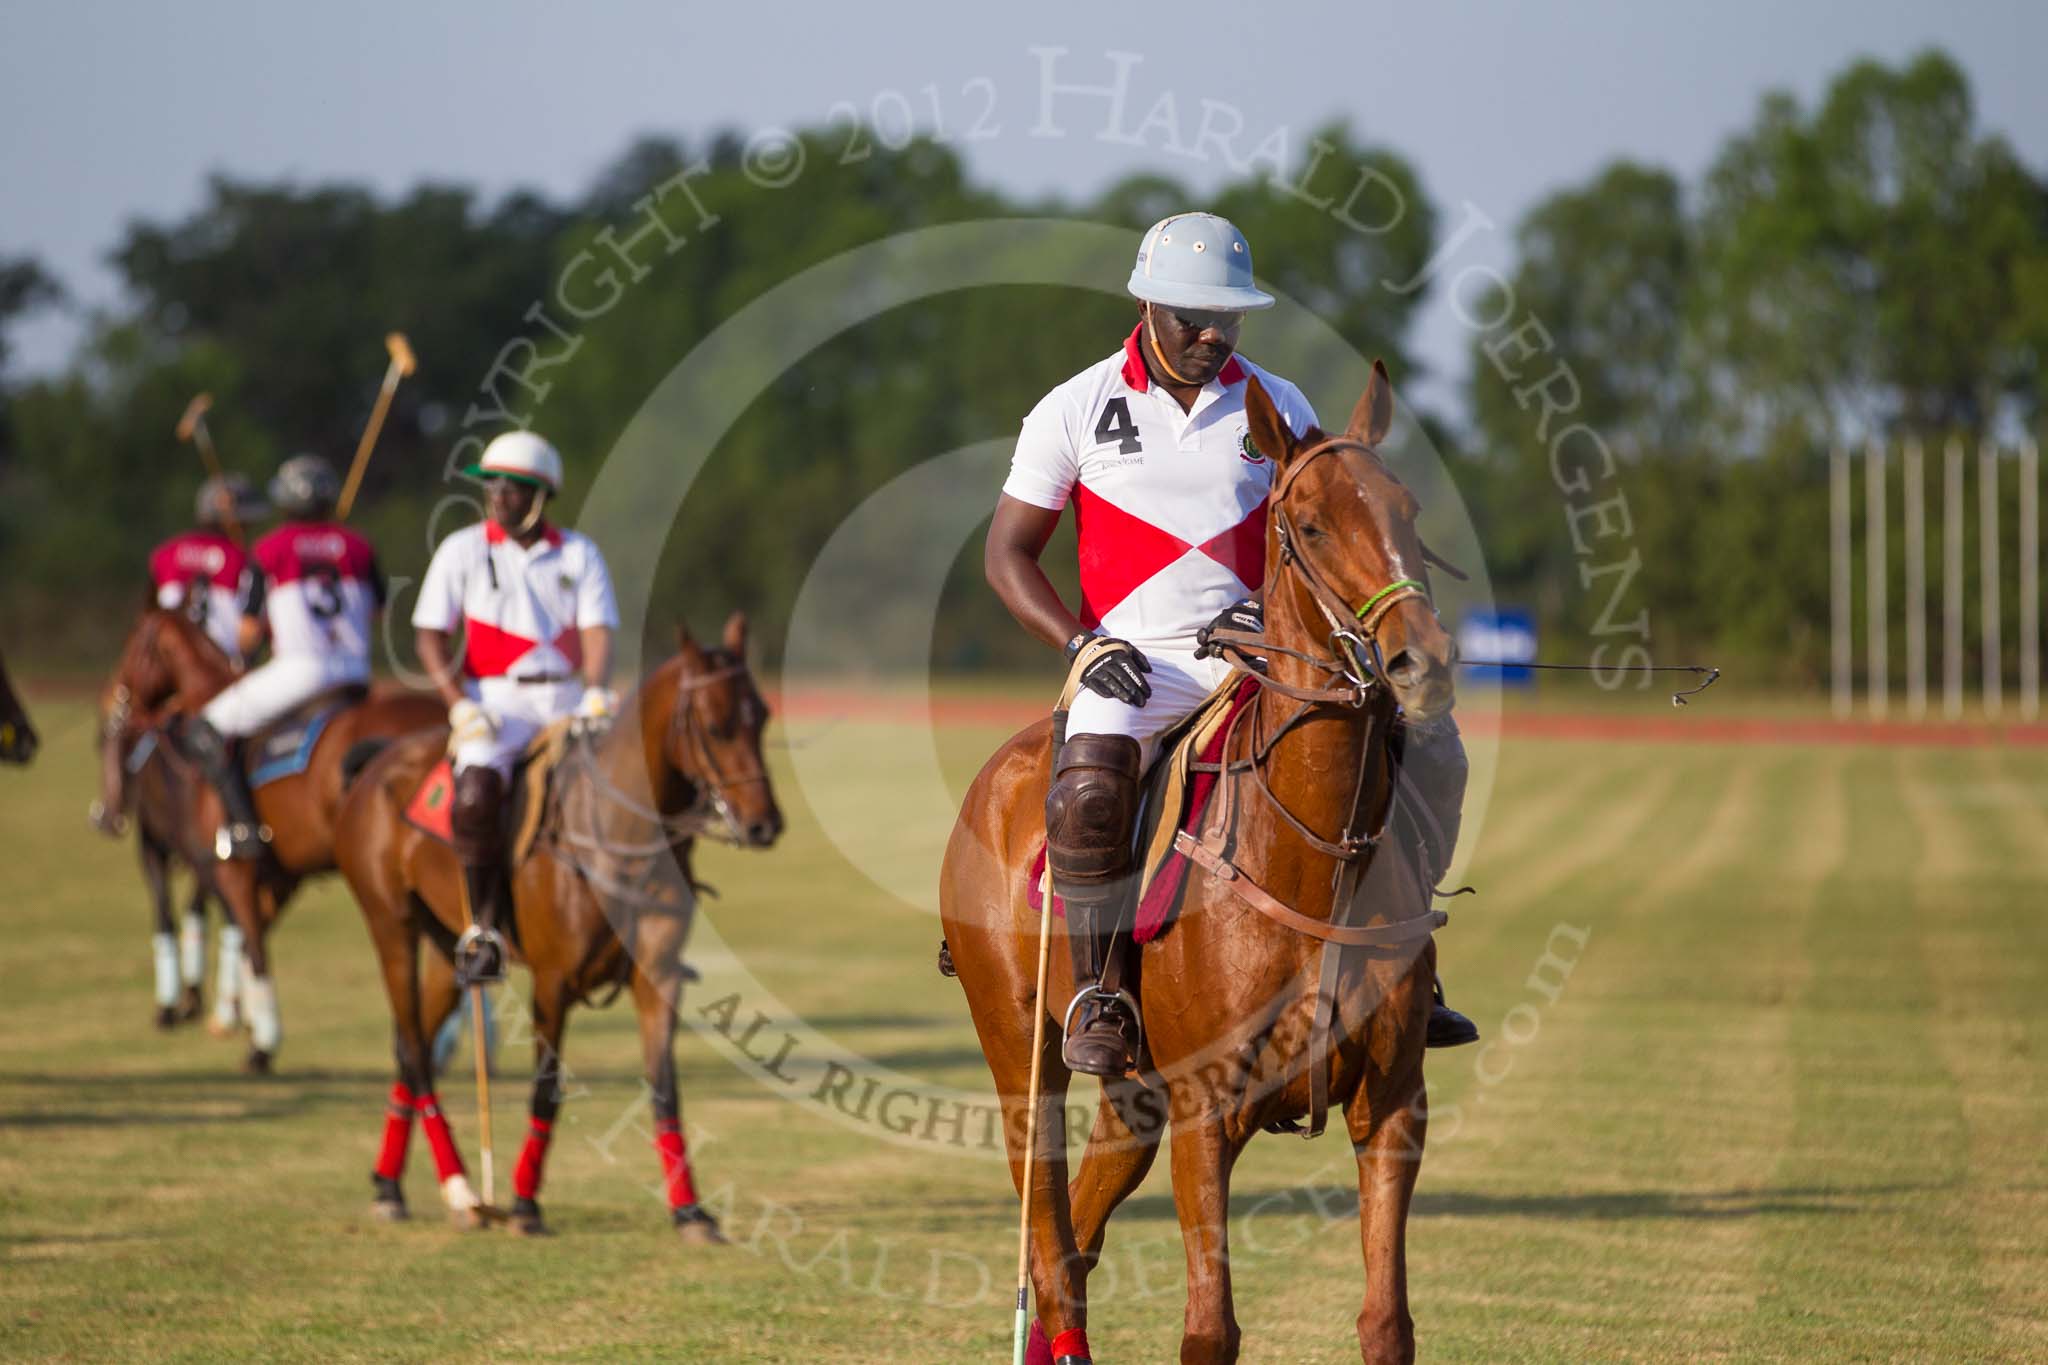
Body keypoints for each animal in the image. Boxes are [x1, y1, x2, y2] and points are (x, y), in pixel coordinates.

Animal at [101, 605, 446, 1064]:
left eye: (132, 645)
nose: (116, 704)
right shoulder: (281, 876)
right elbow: (251, 941)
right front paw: (242, 1023)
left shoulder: (232, 867)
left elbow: (254, 945)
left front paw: (261, 1042)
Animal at [335, 613, 782, 1244]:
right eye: (716, 725)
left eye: (761, 716)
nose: (765, 824)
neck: (620, 835)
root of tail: (375, 761)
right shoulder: (553, 982)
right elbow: (546, 1090)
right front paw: (524, 1206)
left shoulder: (658, 978)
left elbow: (665, 1089)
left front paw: (691, 1212)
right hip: (389, 923)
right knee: (417, 1051)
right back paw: (465, 1190)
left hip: (447, 947)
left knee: (408, 1042)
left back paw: (391, 1187)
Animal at [942, 366, 1458, 1365]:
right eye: (1310, 525)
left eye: (1409, 509)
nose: (1424, 662)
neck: (1313, 848)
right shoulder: (1206, 1107)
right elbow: (1209, 1330)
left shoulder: (1394, 1103)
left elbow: (1388, 1324)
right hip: (1020, 1047)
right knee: (1052, 1252)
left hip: (1134, 1094)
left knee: (1079, 1231)